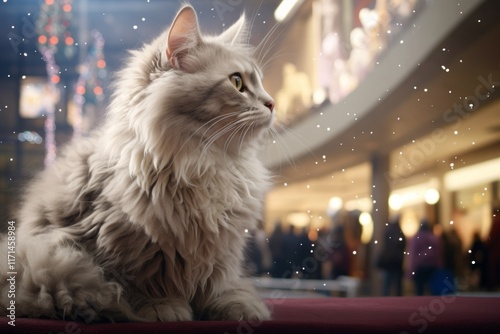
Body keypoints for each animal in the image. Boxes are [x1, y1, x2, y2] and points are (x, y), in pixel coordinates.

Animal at [0, 5, 274, 322]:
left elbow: (220, 283)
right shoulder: (109, 241)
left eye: (261, 83)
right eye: (237, 82)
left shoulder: (222, 251)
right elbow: (130, 281)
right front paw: (161, 305)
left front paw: (237, 306)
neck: (203, 165)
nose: (272, 103)